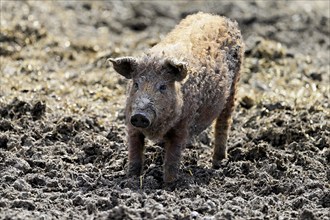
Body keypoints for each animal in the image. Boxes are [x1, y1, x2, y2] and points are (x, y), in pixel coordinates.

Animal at [109, 12, 244, 183]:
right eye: (136, 84)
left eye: (163, 87)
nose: (140, 115)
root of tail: (217, 16)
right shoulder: (130, 123)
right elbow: (134, 153)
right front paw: (131, 179)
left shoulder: (182, 126)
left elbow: (173, 158)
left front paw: (169, 184)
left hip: (234, 86)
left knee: (223, 122)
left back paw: (217, 163)